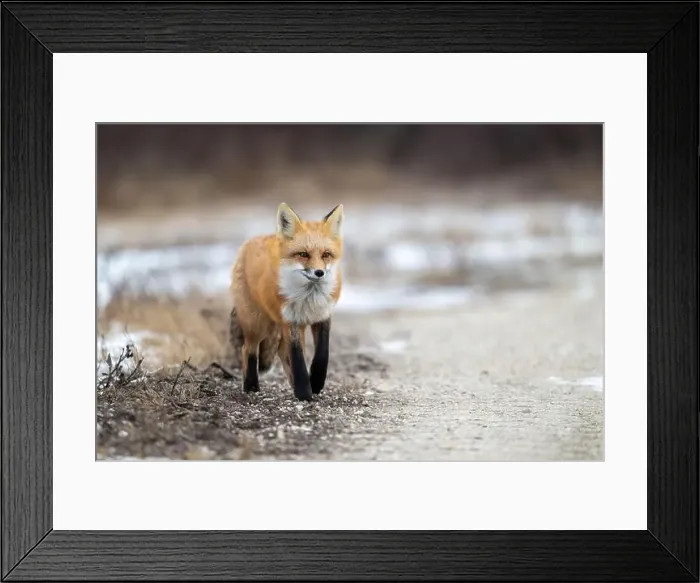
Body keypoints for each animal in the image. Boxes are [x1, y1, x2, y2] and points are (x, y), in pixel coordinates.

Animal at [229, 202, 344, 401]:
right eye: (303, 254)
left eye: (326, 254)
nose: (319, 273)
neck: (310, 299)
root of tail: (248, 243)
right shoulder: (291, 321)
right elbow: (298, 361)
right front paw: (305, 393)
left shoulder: (323, 316)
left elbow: (322, 355)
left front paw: (315, 382)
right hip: (258, 324)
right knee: (248, 349)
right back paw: (251, 386)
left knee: (281, 352)